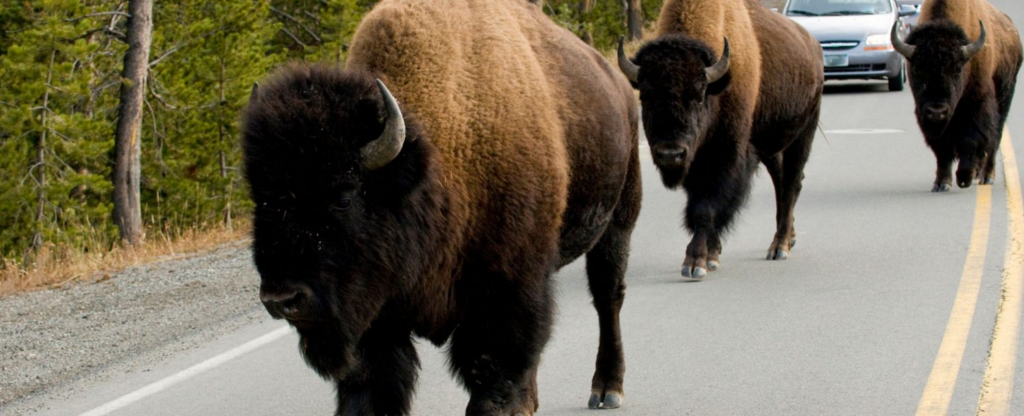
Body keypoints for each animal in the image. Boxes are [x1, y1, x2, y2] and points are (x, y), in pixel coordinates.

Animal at [240, 1, 638, 413]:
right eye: (261, 199)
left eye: (344, 198)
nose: (282, 299)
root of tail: (615, 80)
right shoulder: (377, 321)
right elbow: (371, 388)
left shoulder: (504, 302)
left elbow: (493, 380)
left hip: (618, 218)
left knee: (607, 297)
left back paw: (607, 388)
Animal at [614, 0, 823, 278]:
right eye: (645, 96)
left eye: (699, 96)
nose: (670, 154)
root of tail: (812, 45)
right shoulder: (694, 161)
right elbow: (699, 204)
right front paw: (712, 253)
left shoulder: (726, 156)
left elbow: (706, 208)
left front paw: (696, 262)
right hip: (772, 147)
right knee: (781, 184)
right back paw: (789, 238)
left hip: (803, 134)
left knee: (790, 185)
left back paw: (779, 247)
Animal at [892, 0, 1019, 190]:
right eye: (918, 69)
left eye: (957, 70)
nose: (937, 111)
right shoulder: (926, 114)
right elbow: (942, 148)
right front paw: (942, 183)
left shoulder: (977, 105)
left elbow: (971, 140)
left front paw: (964, 178)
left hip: (1004, 98)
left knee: (995, 138)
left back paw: (986, 176)